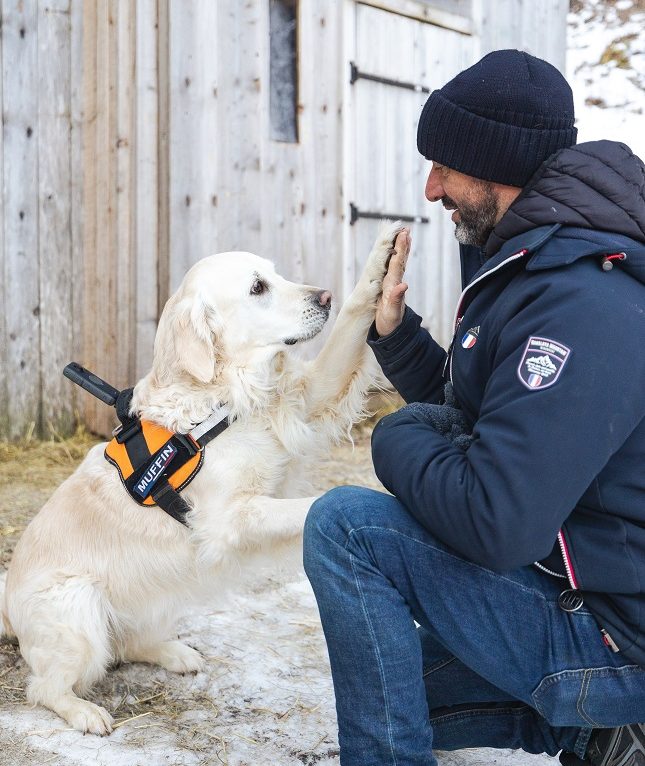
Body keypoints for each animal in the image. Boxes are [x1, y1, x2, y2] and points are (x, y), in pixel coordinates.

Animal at [1, 222, 402, 736]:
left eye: (276, 273)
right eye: (258, 288)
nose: (324, 296)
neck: (223, 400)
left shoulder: (310, 395)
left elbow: (353, 319)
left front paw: (384, 257)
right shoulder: (232, 517)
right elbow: (315, 502)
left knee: (128, 644)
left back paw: (175, 653)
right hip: (76, 603)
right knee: (47, 687)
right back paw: (85, 712)